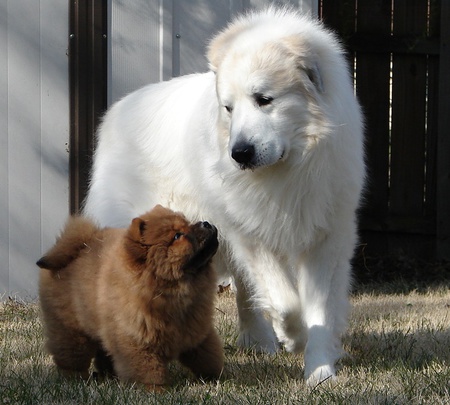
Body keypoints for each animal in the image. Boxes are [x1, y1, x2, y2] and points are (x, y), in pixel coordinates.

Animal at [37, 205, 224, 388]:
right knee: (71, 355)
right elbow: (148, 369)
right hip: (70, 330)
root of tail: (80, 246)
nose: (206, 223)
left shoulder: (197, 330)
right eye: (177, 236)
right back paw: (74, 378)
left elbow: (209, 355)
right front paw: (154, 390)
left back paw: (109, 376)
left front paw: (216, 377)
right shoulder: (137, 339)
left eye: (188, 222)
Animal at [83, 7, 366, 384]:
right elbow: (287, 301)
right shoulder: (250, 233)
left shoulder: (327, 235)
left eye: (264, 100)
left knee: (245, 288)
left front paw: (320, 371)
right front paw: (295, 337)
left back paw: (259, 341)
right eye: (229, 108)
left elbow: (318, 306)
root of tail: (119, 109)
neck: (291, 165)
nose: (239, 153)